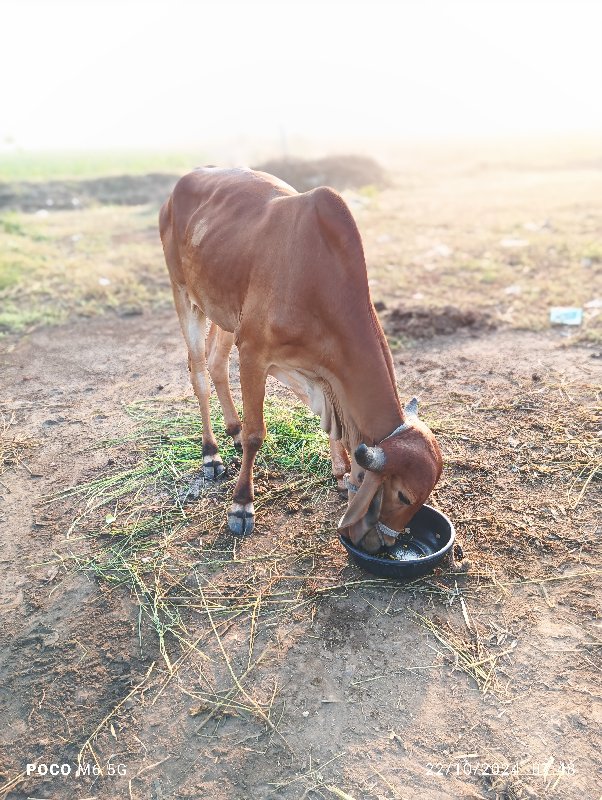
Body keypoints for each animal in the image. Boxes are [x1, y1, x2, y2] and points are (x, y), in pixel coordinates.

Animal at [158, 167, 440, 556]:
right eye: (403, 495)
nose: (380, 544)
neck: (320, 280)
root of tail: (179, 185)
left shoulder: (312, 368)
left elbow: (330, 423)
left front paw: (342, 472)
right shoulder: (254, 352)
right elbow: (256, 434)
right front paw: (241, 506)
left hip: (224, 311)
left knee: (216, 364)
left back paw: (231, 432)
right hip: (183, 293)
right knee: (199, 372)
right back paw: (211, 454)